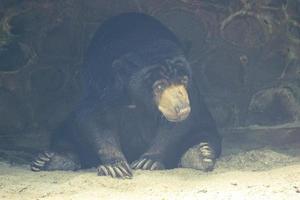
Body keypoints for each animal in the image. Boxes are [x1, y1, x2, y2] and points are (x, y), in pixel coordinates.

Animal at [31, 12, 223, 178]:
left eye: (184, 80)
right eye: (159, 85)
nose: (181, 108)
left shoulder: (192, 94)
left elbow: (179, 126)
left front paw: (148, 161)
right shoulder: (100, 81)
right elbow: (94, 116)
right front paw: (115, 167)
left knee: (205, 133)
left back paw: (200, 154)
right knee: (66, 133)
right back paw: (49, 160)